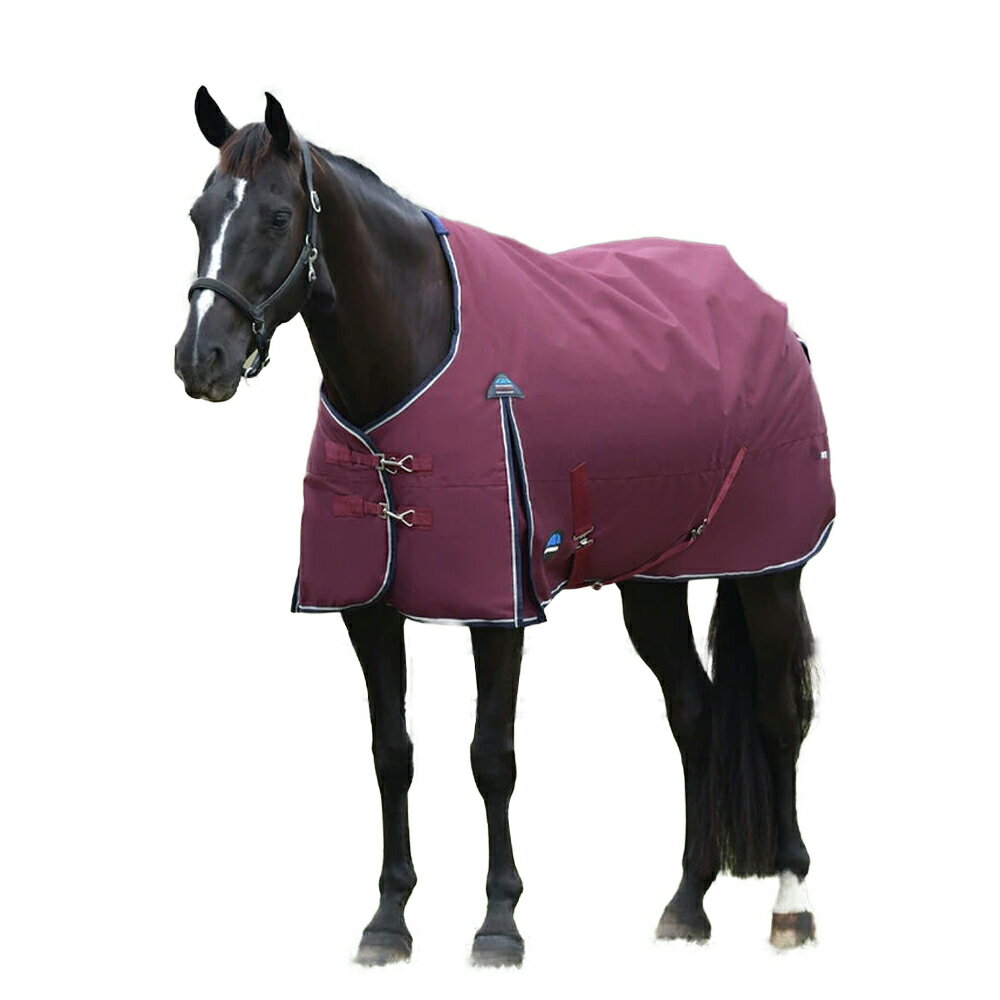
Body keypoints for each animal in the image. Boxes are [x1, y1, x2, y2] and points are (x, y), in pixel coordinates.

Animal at [174, 87, 831, 965]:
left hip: (769, 571)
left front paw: (499, 923)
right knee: (692, 712)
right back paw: (686, 904)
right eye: (199, 213)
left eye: (279, 216)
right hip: (653, 582)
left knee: (778, 715)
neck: (414, 356)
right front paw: (388, 921)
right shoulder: (366, 610)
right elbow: (391, 755)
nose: (200, 360)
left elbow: (492, 758)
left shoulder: (499, 606)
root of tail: (771, 315)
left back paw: (791, 904)